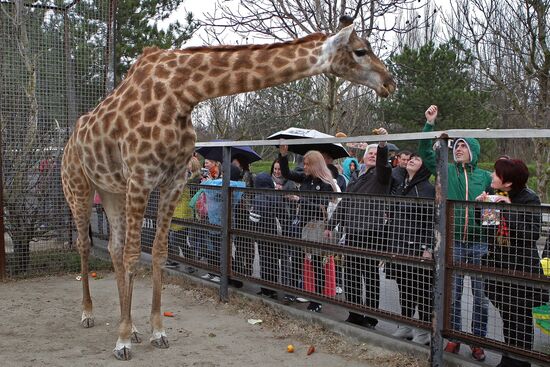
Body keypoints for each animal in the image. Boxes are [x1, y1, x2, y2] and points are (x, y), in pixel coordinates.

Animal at [60, 15, 396, 360]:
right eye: (360, 51)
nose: (389, 82)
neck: (182, 94)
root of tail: (70, 141)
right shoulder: (141, 176)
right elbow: (133, 255)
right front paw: (123, 341)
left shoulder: (172, 181)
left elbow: (158, 252)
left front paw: (156, 332)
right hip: (79, 186)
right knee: (86, 244)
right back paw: (89, 314)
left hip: (112, 190)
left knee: (113, 247)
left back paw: (133, 327)